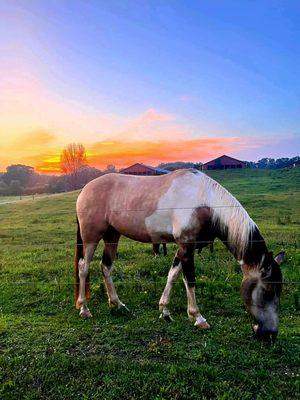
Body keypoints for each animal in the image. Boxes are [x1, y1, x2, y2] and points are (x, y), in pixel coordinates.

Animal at [74, 170, 284, 342]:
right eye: (268, 291)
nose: (270, 335)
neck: (204, 200)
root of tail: (85, 190)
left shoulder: (183, 247)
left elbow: (173, 275)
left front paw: (165, 311)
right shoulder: (187, 245)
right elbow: (189, 280)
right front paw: (197, 317)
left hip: (112, 236)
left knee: (105, 266)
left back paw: (117, 303)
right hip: (91, 237)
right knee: (83, 267)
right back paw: (84, 308)